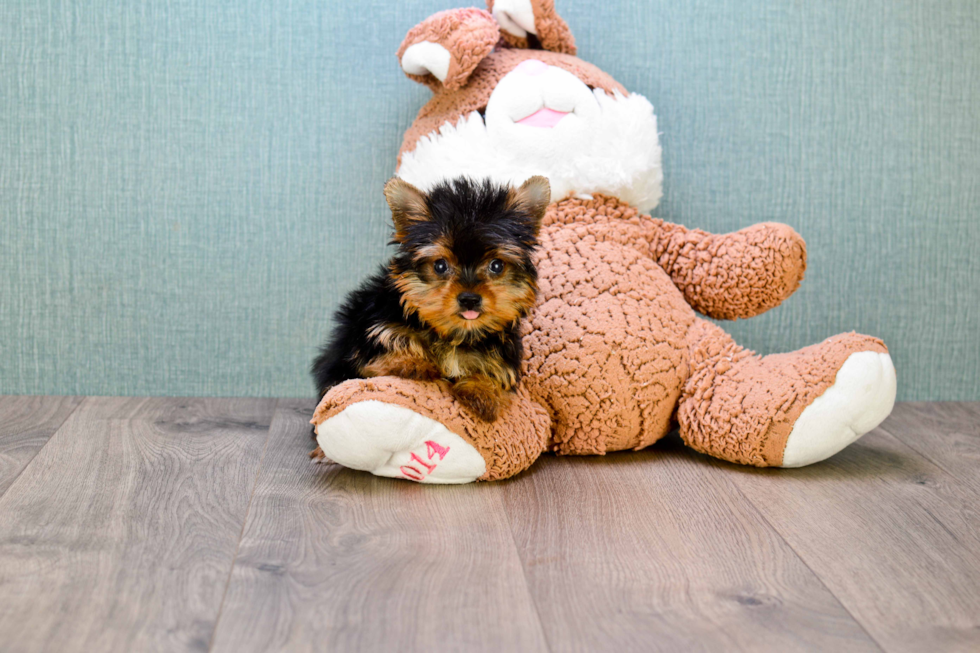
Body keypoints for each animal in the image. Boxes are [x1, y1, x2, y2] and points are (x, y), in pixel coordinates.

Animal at [310, 174, 548, 418]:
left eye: (497, 265)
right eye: (440, 265)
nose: (469, 299)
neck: (455, 334)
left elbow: (495, 373)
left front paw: (483, 392)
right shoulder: (368, 338)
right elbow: (384, 351)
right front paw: (412, 362)